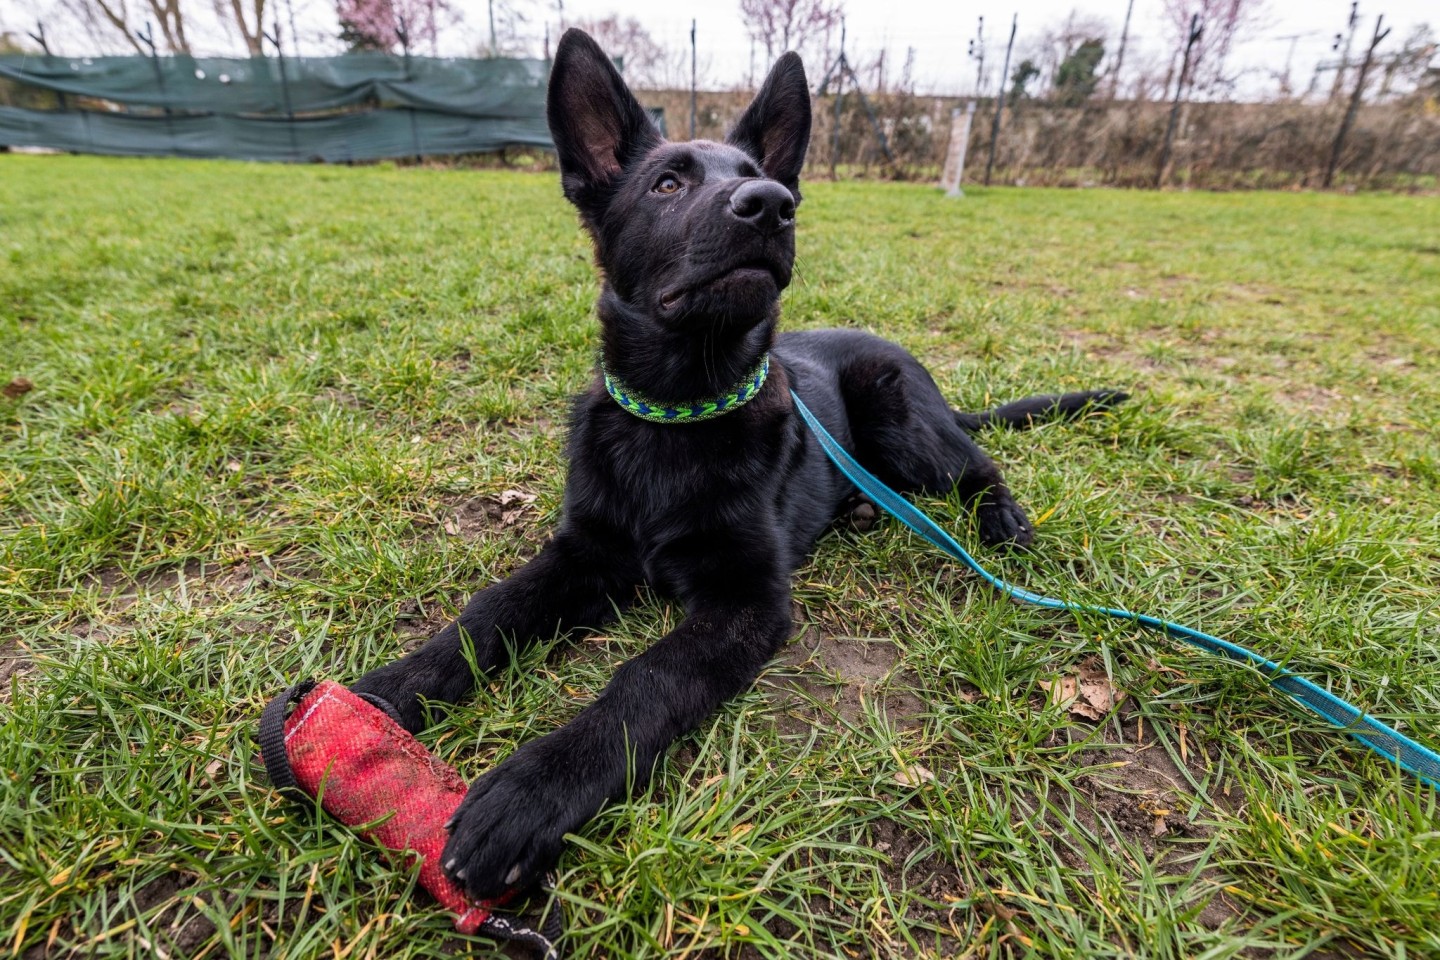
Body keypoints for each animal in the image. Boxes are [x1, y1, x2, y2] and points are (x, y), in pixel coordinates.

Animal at [351, 28, 1123, 903]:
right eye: (667, 183)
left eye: (761, 180)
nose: (771, 205)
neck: (680, 413)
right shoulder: (582, 553)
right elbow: (487, 617)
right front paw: (383, 694)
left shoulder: (746, 603)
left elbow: (644, 679)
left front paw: (529, 791)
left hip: (896, 409)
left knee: (977, 466)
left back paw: (1003, 519)